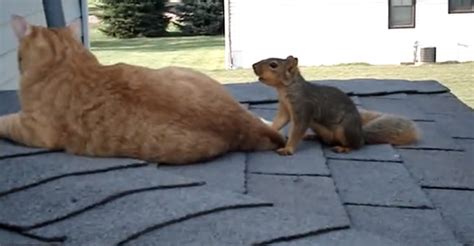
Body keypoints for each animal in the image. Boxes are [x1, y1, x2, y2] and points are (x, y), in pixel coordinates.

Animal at [252, 56, 418, 156]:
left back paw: (344, 147)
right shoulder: (285, 109)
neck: (285, 89)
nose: (253, 65)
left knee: (357, 145)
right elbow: (280, 121)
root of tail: (361, 134)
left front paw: (288, 149)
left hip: (345, 130)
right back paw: (312, 136)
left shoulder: (304, 107)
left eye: (273, 65)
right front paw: (269, 129)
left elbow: (297, 130)